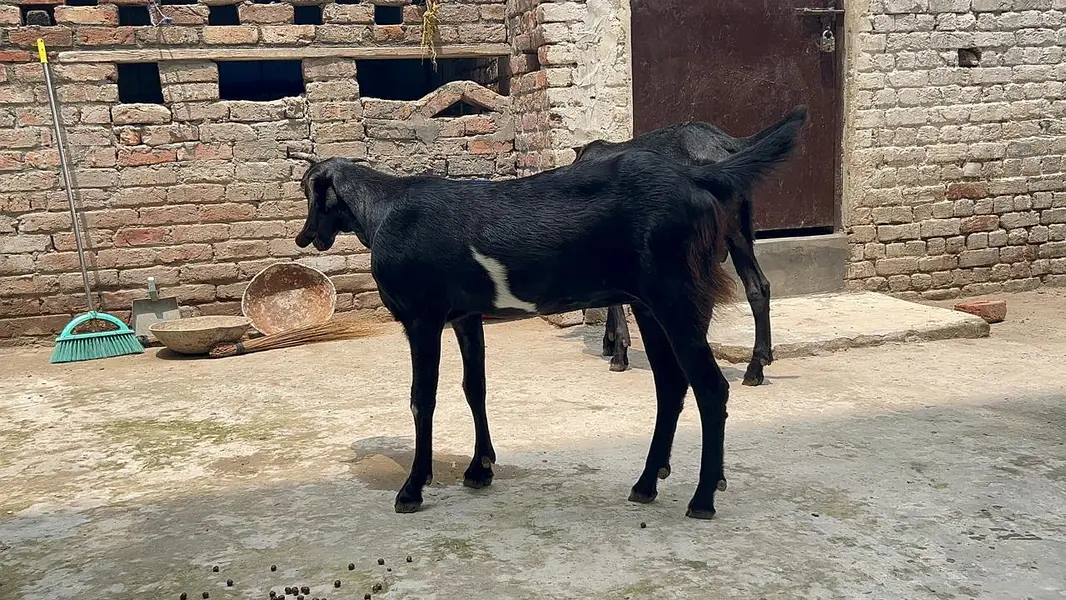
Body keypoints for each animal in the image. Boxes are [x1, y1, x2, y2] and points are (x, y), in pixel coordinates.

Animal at [572, 106, 809, 386]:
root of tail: (723, 143)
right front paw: (610, 343)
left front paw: (618, 352)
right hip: (737, 232)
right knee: (757, 288)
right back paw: (755, 367)